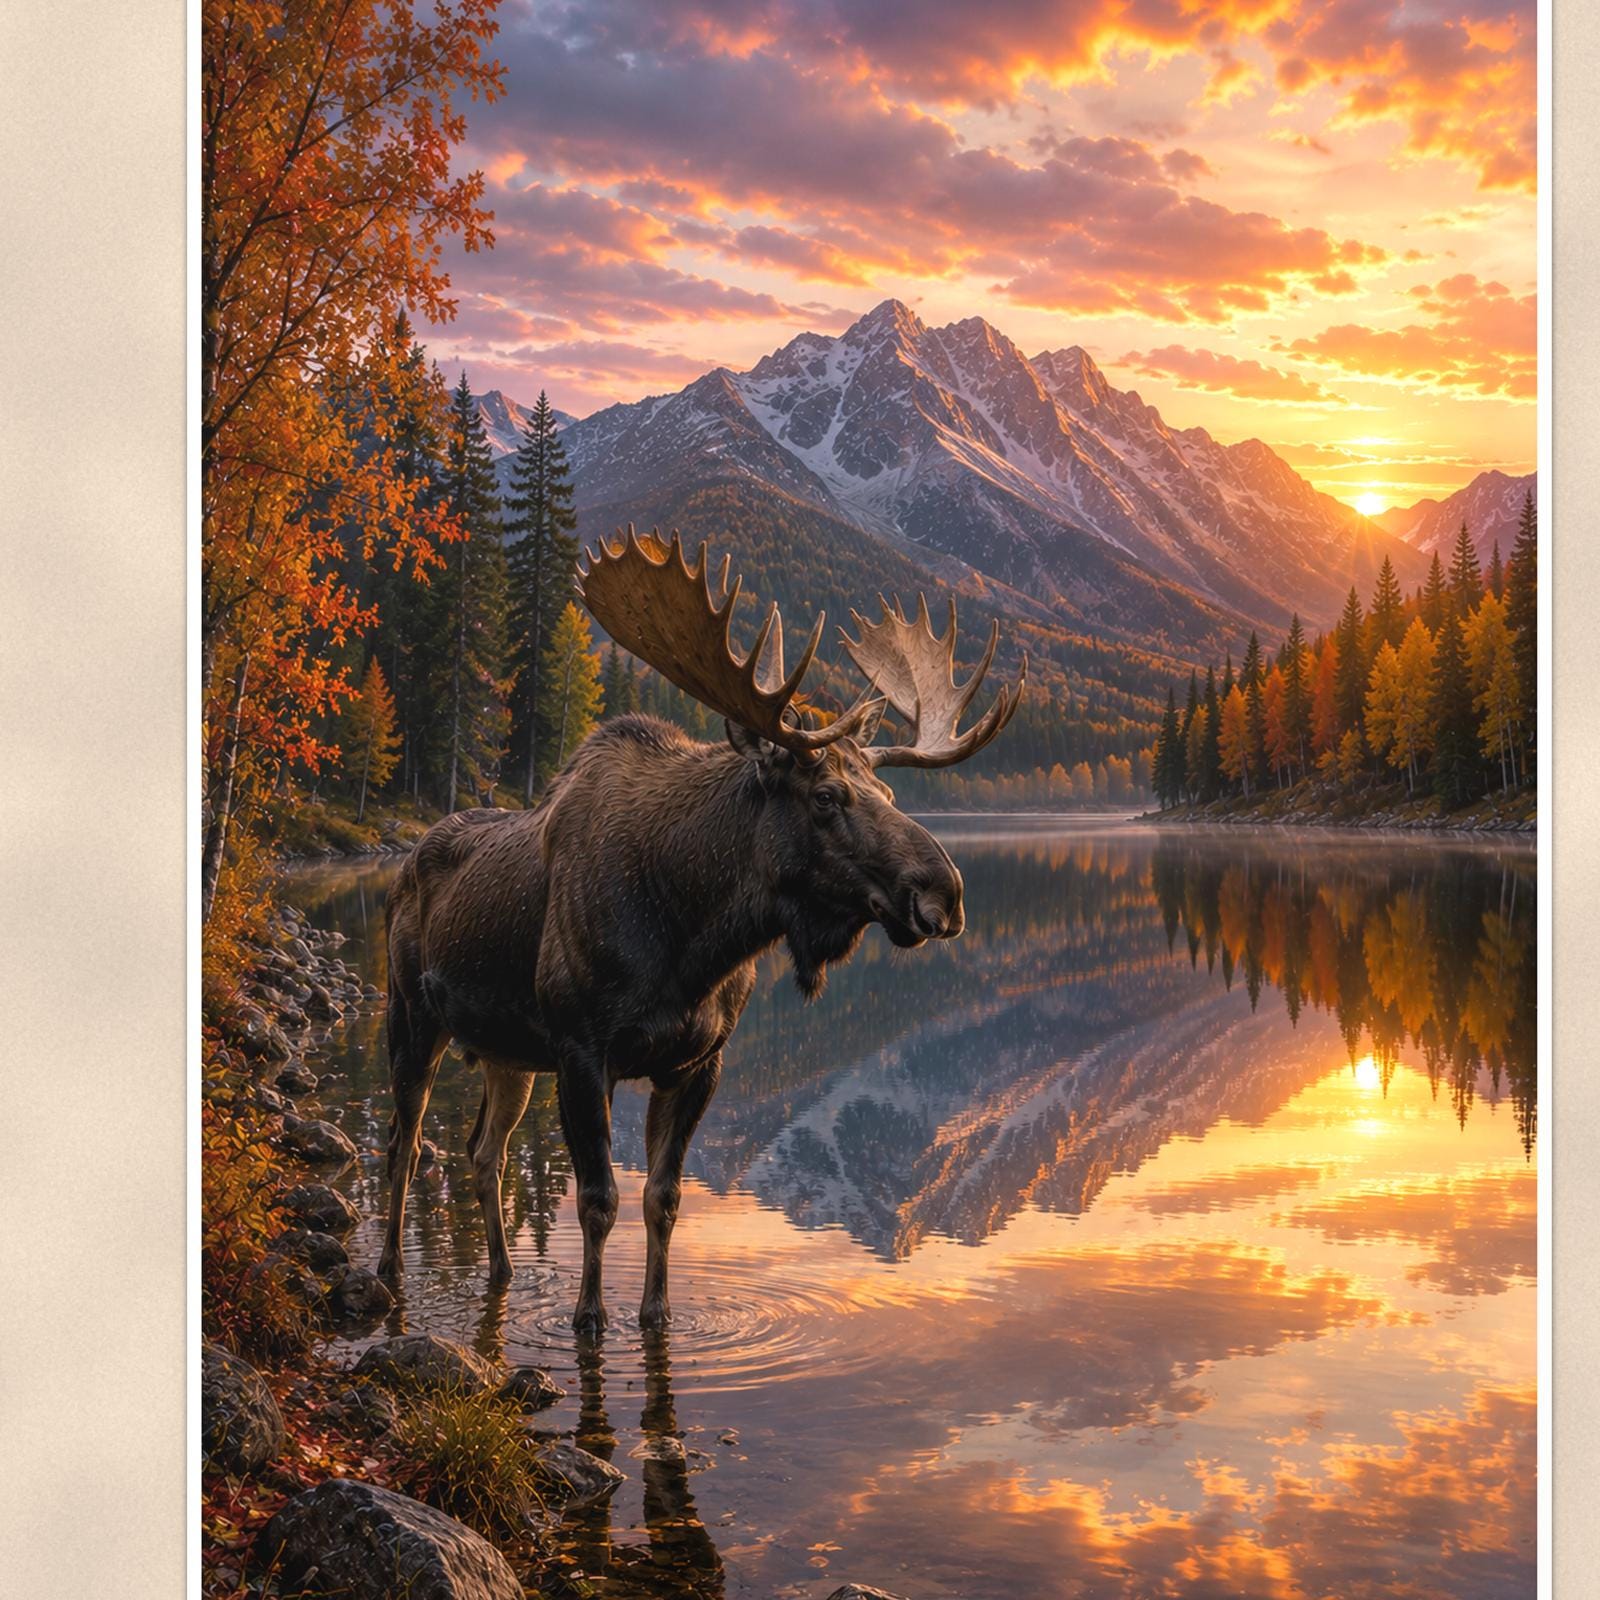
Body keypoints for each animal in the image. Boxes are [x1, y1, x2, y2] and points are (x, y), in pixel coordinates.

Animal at [377, 528, 1025, 1334]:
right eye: (826, 795)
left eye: (888, 789)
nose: (944, 892)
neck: (691, 937)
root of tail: (406, 864)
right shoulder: (582, 1049)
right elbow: (599, 1201)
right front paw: (589, 1317)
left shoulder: (698, 1060)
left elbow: (663, 1199)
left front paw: (655, 1314)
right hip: (412, 1017)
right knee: (403, 1145)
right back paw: (389, 1269)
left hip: (506, 1053)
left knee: (481, 1150)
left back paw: (499, 1272)